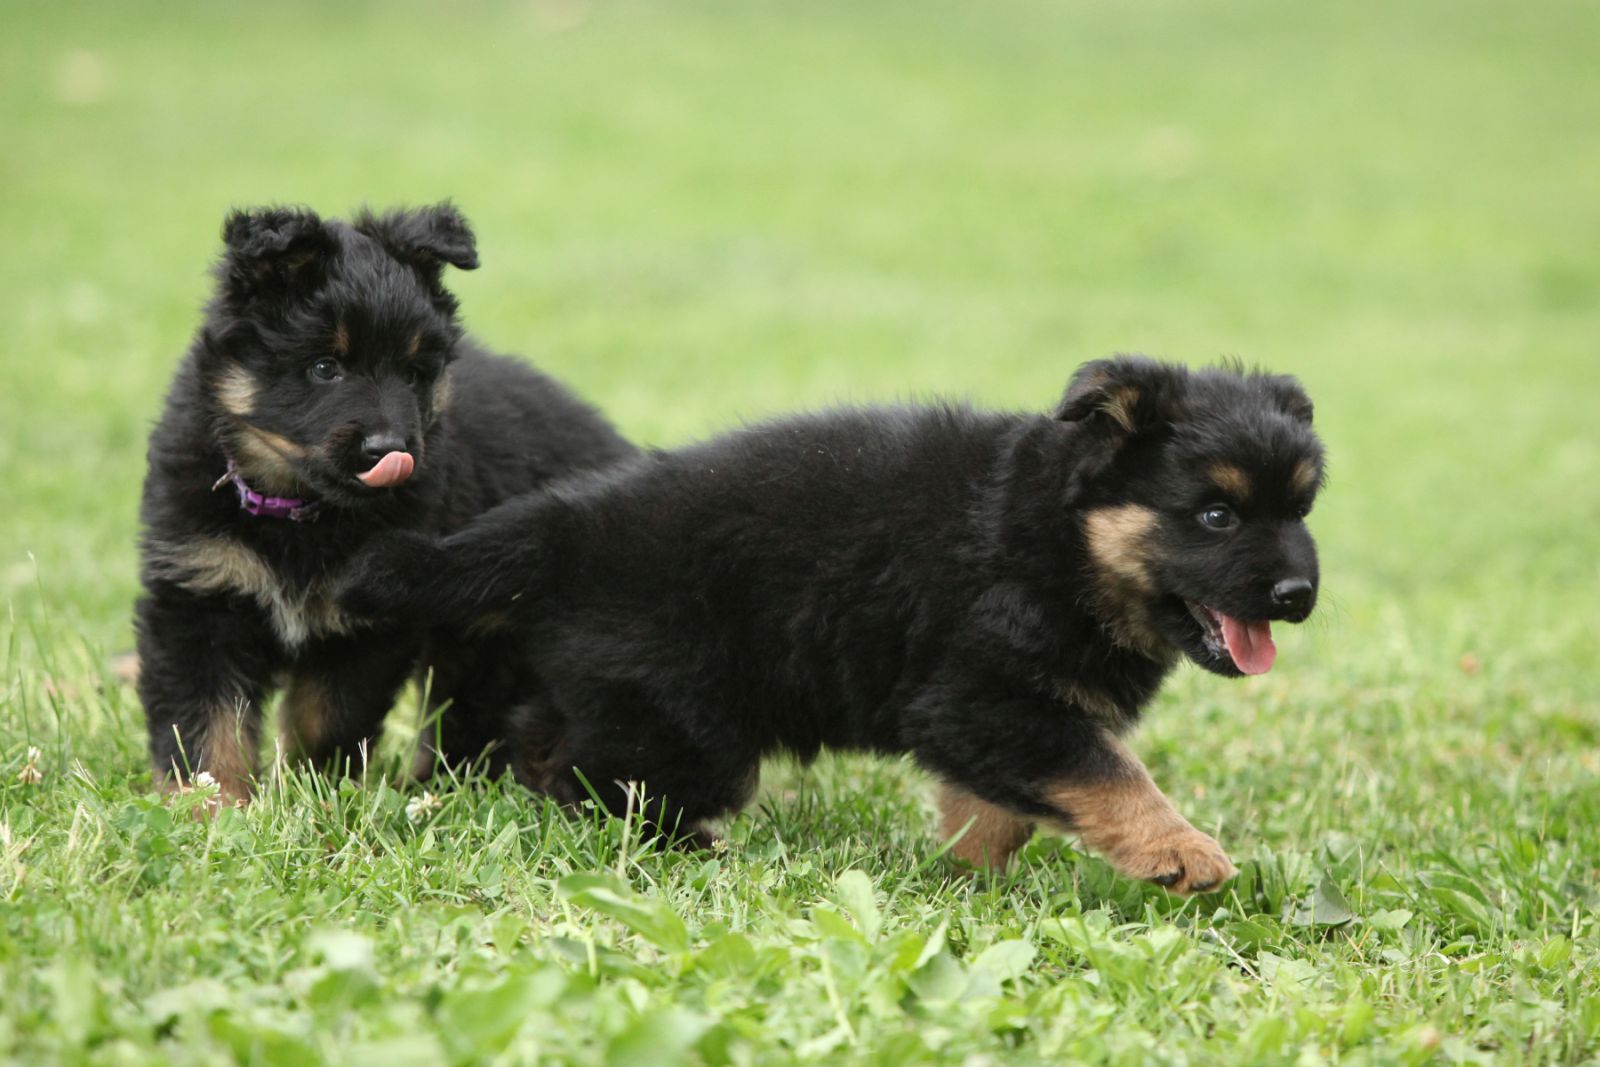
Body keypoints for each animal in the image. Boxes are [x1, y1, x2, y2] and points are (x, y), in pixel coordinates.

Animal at [340, 358, 1324, 895]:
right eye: (1216, 516)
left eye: (1302, 507)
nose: (1300, 592)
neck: (1057, 535)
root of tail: (566, 523)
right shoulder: (980, 697)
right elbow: (1110, 773)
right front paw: (1180, 849)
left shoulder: (996, 715)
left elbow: (1001, 809)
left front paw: (967, 881)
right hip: (692, 721)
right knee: (602, 782)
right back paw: (693, 848)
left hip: (625, 691)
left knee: (550, 748)